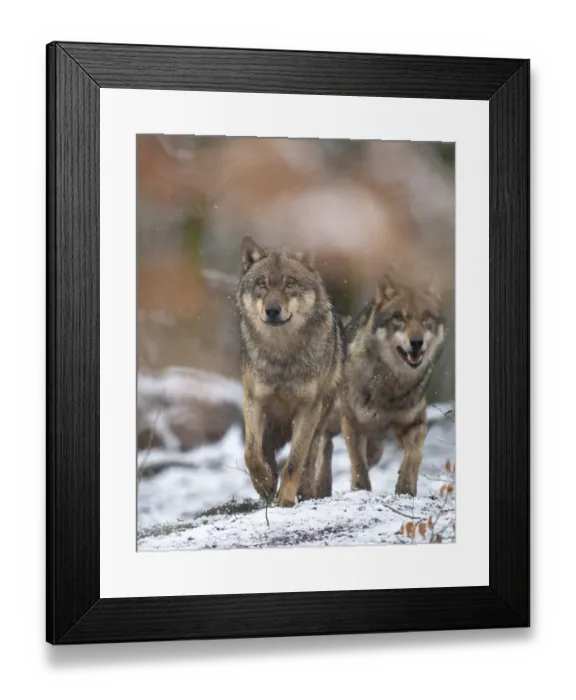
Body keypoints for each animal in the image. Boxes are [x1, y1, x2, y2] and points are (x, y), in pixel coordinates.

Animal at [235, 236, 343, 507]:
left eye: (290, 283)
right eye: (262, 284)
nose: (272, 310)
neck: (282, 355)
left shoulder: (308, 409)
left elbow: (295, 461)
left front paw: (285, 498)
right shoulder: (255, 400)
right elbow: (250, 453)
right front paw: (264, 483)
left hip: (320, 420)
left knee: (311, 457)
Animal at [337, 274, 446, 497]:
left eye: (425, 318)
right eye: (400, 318)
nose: (417, 342)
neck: (390, 384)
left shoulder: (415, 422)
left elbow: (414, 455)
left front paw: (405, 488)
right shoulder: (352, 422)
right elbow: (357, 463)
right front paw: (361, 489)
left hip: (377, 449)